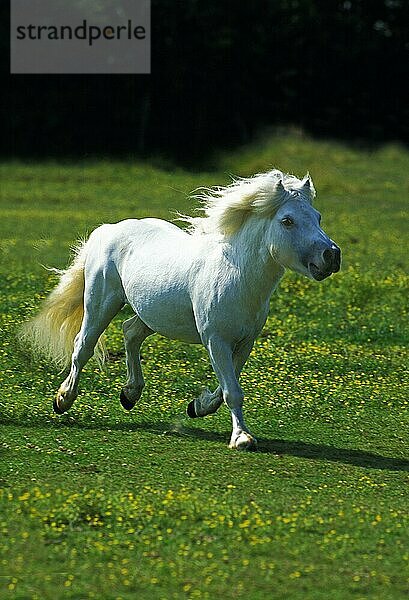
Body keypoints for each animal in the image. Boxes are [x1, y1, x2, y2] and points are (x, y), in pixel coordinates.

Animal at [23, 169, 342, 450]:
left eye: (318, 217)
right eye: (287, 221)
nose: (331, 256)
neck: (236, 275)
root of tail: (109, 229)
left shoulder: (244, 342)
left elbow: (226, 388)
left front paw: (196, 407)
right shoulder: (216, 339)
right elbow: (232, 391)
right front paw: (242, 439)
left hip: (153, 313)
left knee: (130, 332)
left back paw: (130, 394)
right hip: (101, 302)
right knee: (84, 345)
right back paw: (63, 399)